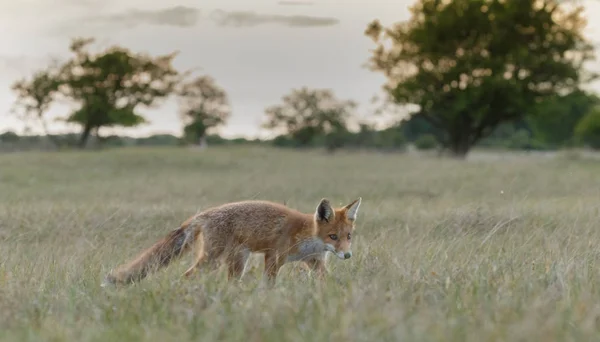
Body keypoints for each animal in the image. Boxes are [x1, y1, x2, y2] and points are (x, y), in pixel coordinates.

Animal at [102, 196, 360, 288]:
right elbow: (269, 283)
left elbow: (325, 278)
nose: (348, 255)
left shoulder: (313, 260)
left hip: (236, 261)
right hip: (215, 260)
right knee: (187, 275)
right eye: (333, 236)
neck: (308, 236)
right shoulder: (273, 256)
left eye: (348, 237)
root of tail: (202, 215)